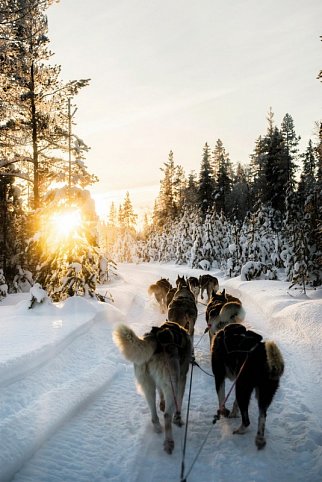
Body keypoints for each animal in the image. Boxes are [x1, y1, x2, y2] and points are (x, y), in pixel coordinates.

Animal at [114, 322, 191, 454]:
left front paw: (162, 404)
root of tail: (155, 339)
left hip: (148, 385)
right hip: (171, 386)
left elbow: (160, 393)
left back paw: (157, 426)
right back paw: (169, 442)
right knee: (167, 415)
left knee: (153, 411)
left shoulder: (160, 383)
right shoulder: (182, 379)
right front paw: (178, 419)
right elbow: (179, 403)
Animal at [211, 322, 284, 450]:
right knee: (262, 417)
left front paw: (223, 412)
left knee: (247, 421)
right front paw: (233, 413)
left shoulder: (219, 377)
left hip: (242, 390)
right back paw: (260, 438)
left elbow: (221, 399)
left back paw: (240, 430)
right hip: (261, 394)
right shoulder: (238, 381)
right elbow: (234, 403)